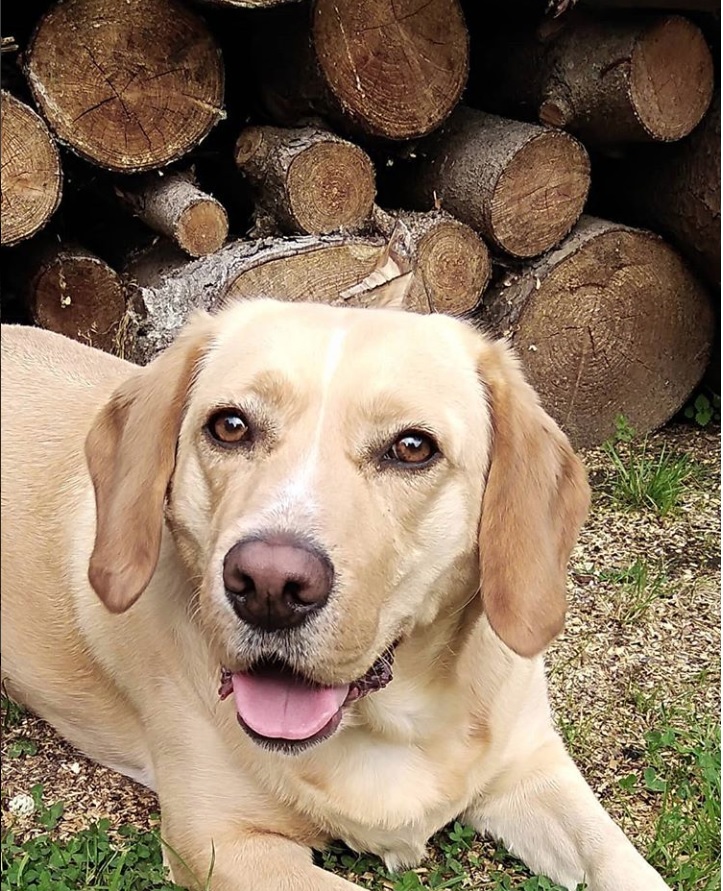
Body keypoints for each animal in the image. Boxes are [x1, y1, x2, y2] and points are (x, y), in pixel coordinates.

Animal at [2, 302, 672, 891]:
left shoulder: (533, 770)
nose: (269, 586)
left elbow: (623, 863)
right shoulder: (222, 844)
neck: (394, 723)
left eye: (412, 447)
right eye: (230, 426)